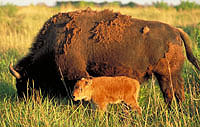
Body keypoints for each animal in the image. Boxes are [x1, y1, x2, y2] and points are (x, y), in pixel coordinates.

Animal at [9, 8, 200, 106]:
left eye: (24, 83)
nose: (23, 103)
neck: (54, 42)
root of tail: (176, 31)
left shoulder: (75, 75)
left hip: (167, 75)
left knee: (172, 93)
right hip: (168, 76)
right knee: (174, 93)